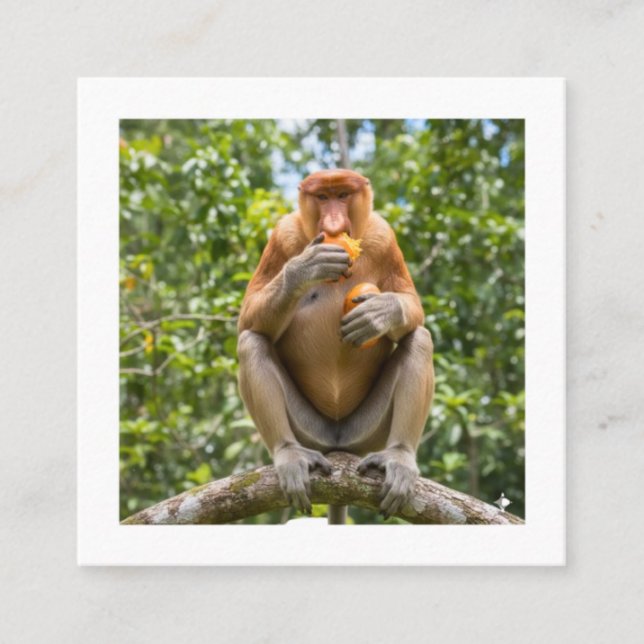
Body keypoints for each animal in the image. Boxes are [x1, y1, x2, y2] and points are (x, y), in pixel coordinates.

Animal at [237, 169, 434, 519]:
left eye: (342, 195)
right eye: (322, 197)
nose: (332, 223)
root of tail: (338, 440)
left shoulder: (384, 235)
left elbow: (412, 307)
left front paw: (380, 313)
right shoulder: (283, 234)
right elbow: (249, 317)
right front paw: (305, 268)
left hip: (367, 431)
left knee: (420, 339)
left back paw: (398, 457)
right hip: (310, 430)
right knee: (251, 341)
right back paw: (290, 455)